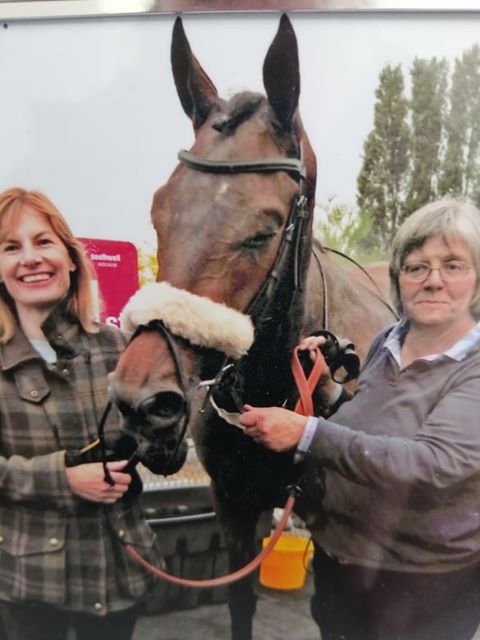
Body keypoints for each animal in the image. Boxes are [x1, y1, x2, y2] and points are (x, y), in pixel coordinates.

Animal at [110, 13, 396, 640]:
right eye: (159, 211)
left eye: (263, 231)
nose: (143, 404)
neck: (282, 385)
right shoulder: (236, 506)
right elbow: (240, 601)